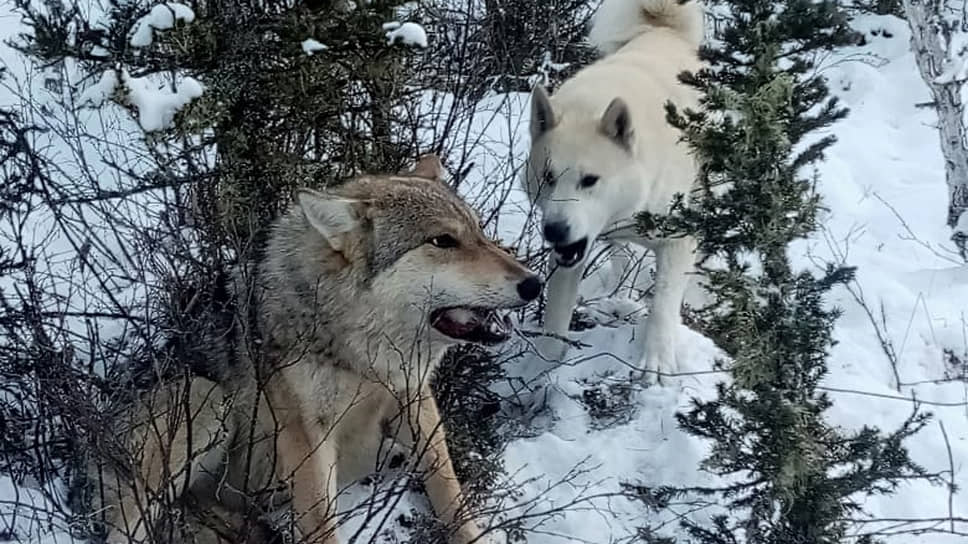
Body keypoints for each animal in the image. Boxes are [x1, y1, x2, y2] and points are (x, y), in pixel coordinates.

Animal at [89, 154, 544, 544]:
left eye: (479, 233)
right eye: (443, 241)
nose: (534, 283)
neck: (360, 356)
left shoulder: (414, 397)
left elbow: (449, 492)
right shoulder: (306, 435)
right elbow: (321, 525)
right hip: (205, 400)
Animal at [520, 0, 704, 382]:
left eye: (590, 180)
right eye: (547, 177)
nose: (554, 230)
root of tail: (665, 29)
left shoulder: (679, 239)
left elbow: (663, 304)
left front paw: (656, 363)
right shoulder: (571, 253)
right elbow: (555, 316)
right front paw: (542, 367)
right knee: (620, 253)